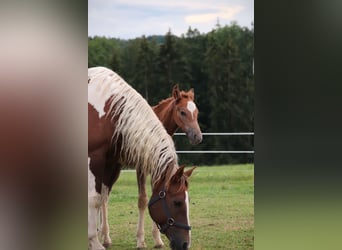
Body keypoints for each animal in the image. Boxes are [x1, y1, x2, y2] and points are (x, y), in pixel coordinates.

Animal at [88, 67, 195, 250]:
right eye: (178, 202)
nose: (185, 244)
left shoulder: (114, 163)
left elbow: (102, 197)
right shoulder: (97, 159)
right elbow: (97, 199)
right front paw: (96, 241)